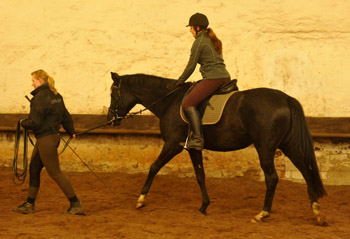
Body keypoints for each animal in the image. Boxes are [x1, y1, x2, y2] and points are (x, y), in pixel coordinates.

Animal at [108, 72, 326, 225]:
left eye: (112, 93)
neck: (169, 102)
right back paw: (317, 213)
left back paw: (262, 214)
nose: (111, 119)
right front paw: (204, 206)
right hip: (289, 145)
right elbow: (200, 175)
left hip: (265, 147)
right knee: (306, 171)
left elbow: (154, 167)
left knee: (272, 178)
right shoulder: (193, 148)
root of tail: (285, 98)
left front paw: (141, 199)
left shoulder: (172, 145)